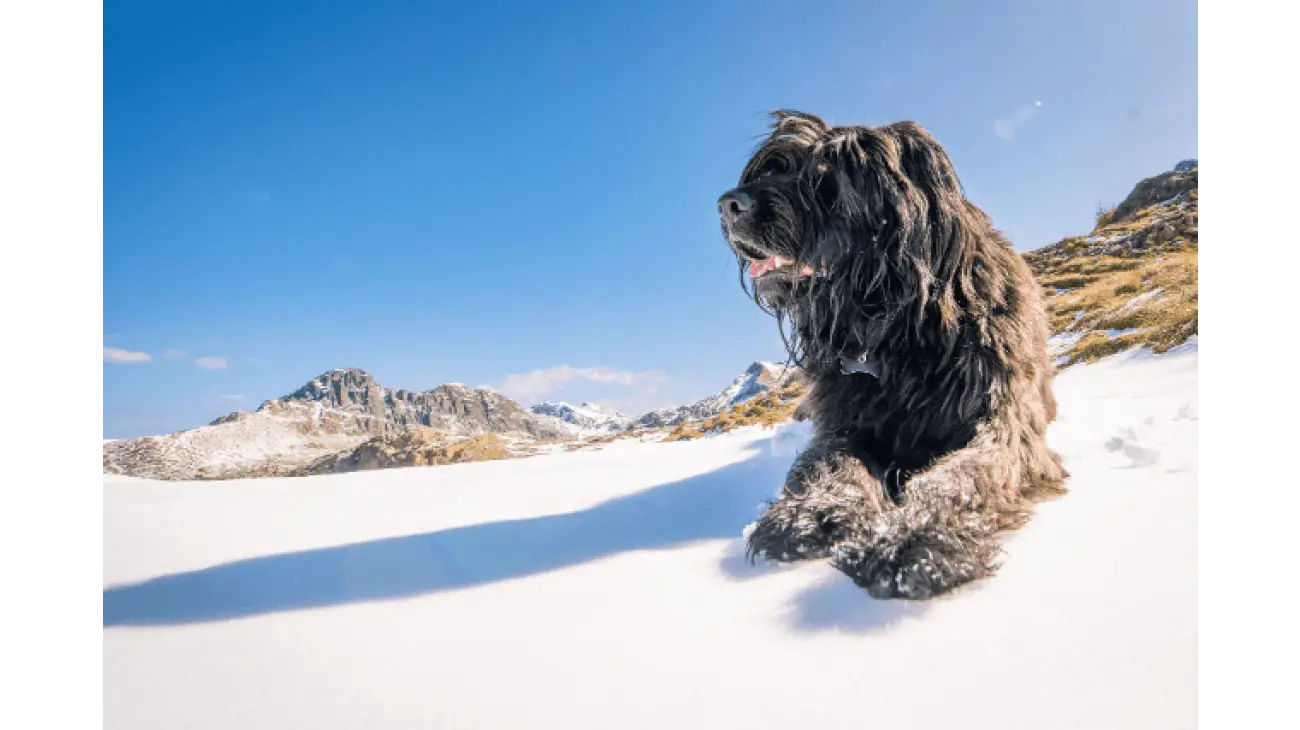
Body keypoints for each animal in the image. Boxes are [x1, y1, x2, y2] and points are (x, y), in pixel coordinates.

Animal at [722, 107, 1066, 597]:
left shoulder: (1003, 419)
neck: (896, 327)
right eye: (773, 167)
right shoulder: (845, 419)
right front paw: (812, 510)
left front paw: (913, 537)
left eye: (822, 175)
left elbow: (963, 475)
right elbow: (831, 460)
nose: (729, 205)